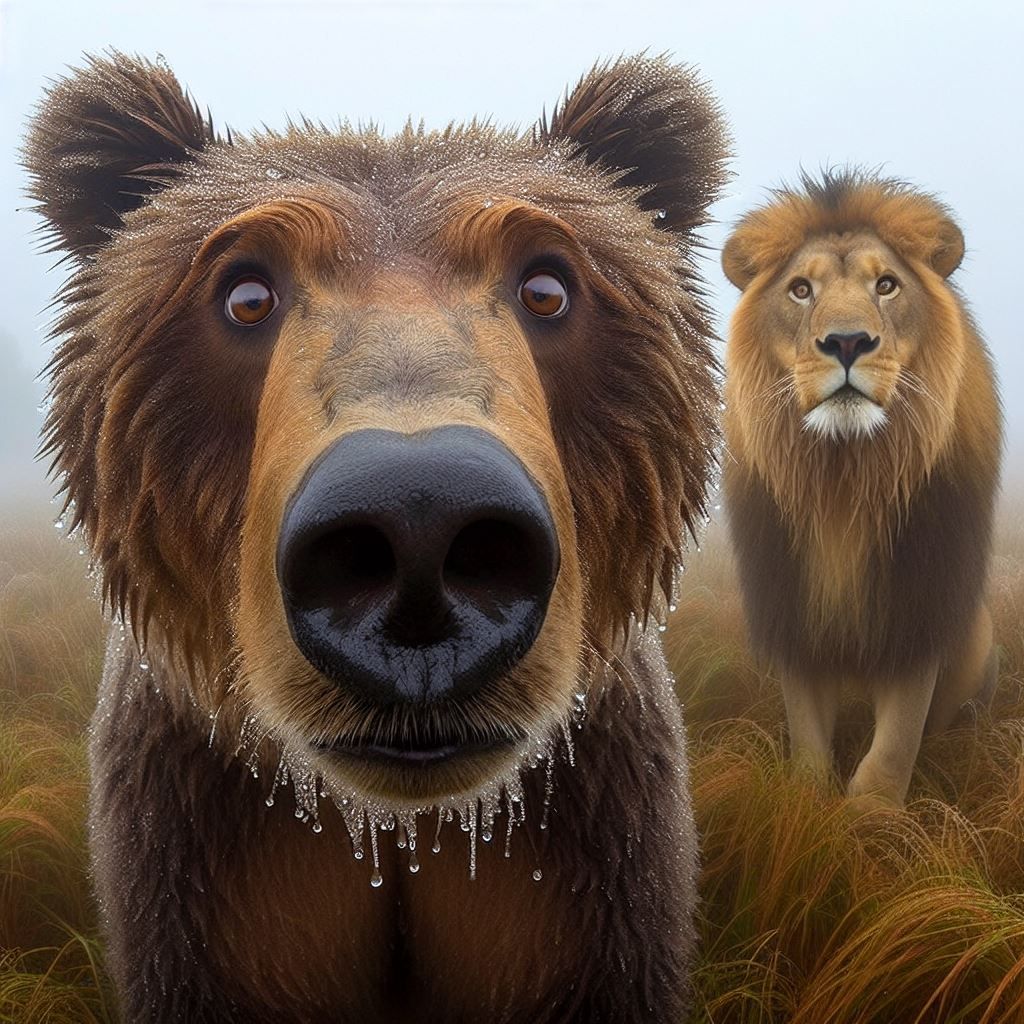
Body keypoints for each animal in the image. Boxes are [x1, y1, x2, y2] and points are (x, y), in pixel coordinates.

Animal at [24, 52, 728, 1022]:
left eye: (547, 286)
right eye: (246, 294)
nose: (419, 521)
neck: (396, 824)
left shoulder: (586, 850)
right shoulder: (210, 854)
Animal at [720, 170, 1002, 807]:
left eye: (887, 285)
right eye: (801, 290)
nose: (847, 342)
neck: (844, 479)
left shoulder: (917, 603)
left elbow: (898, 737)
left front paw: (872, 814)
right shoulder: (792, 605)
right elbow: (806, 728)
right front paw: (804, 800)